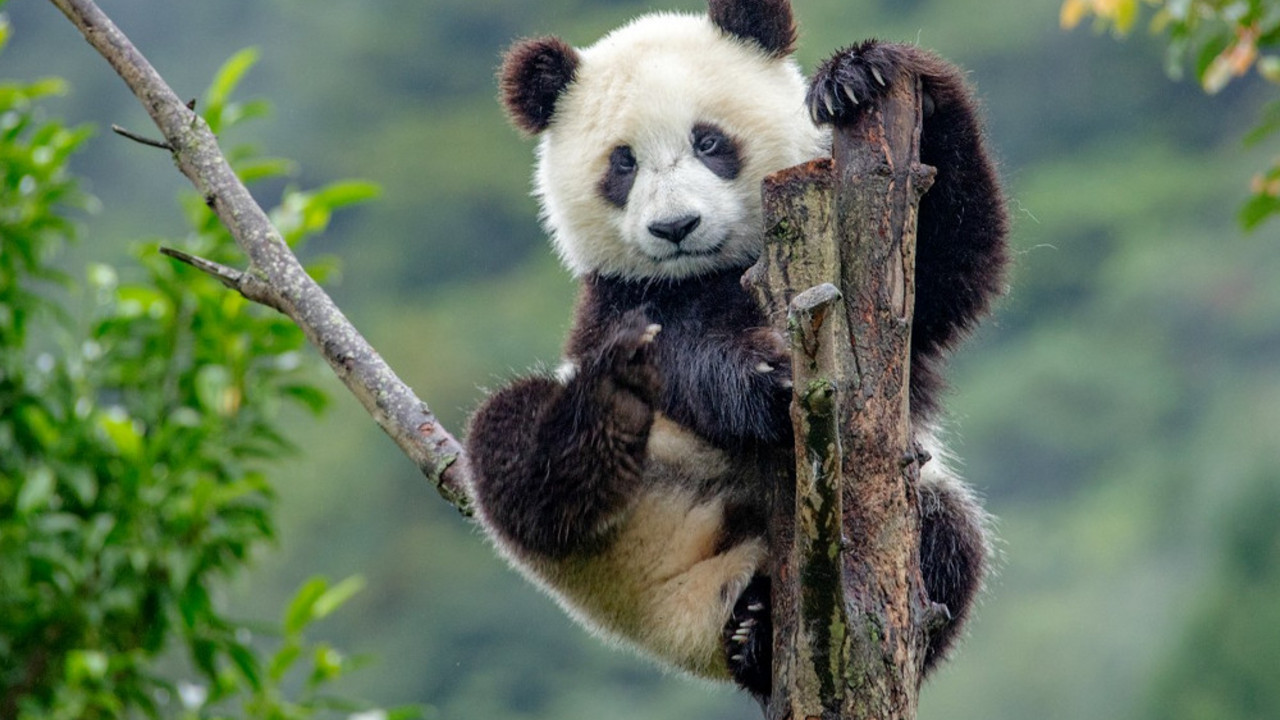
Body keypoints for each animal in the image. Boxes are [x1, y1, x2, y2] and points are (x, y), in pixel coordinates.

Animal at [465, 0, 1007, 699]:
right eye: (623, 163)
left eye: (708, 141)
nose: (675, 227)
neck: (714, 269)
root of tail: (689, 630)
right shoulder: (623, 301)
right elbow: (686, 356)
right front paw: (766, 384)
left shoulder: (889, 291)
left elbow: (954, 265)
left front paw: (858, 76)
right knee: (519, 458)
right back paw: (612, 398)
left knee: (948, 545)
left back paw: (759, 631)